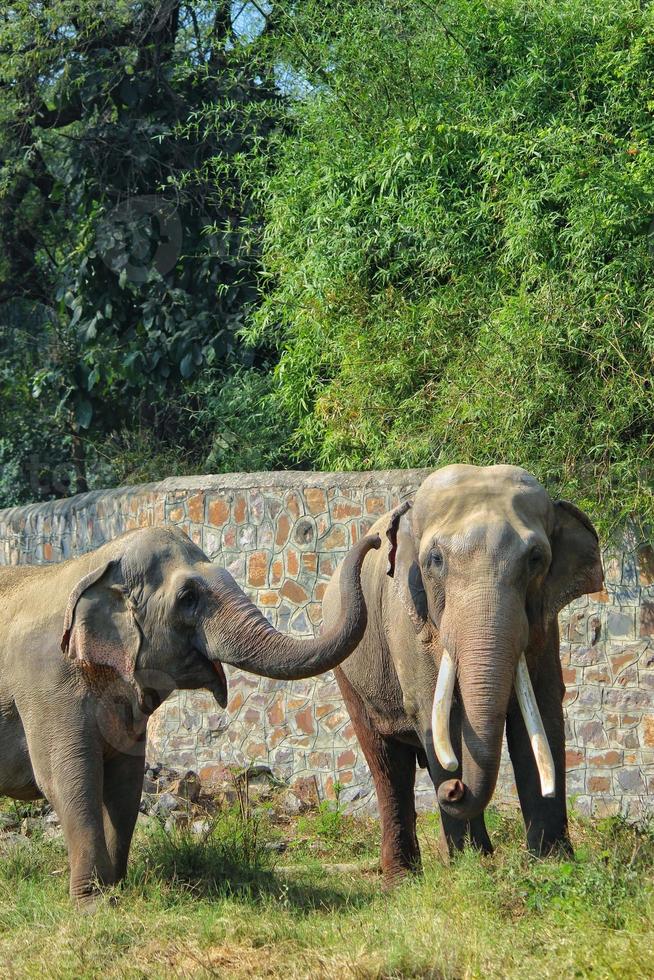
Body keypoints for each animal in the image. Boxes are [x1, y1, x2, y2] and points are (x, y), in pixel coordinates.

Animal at [0, 524, 380, 908]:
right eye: (187, 598)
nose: (376, 540)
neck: (96, 562)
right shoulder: (48, 684)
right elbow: (69, 779)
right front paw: (93, 904)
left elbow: (125, 783)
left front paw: (116, 889)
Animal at [326, 464, 608, 884]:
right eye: (435, 560)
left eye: (536, 558)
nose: (455, 788)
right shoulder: (408, 623)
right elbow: (435, 714)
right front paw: (472, 865)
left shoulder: (544, 625)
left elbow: (541, 716)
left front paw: (551, 863)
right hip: (350, 672)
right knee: (387, 763)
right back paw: (400, 880)